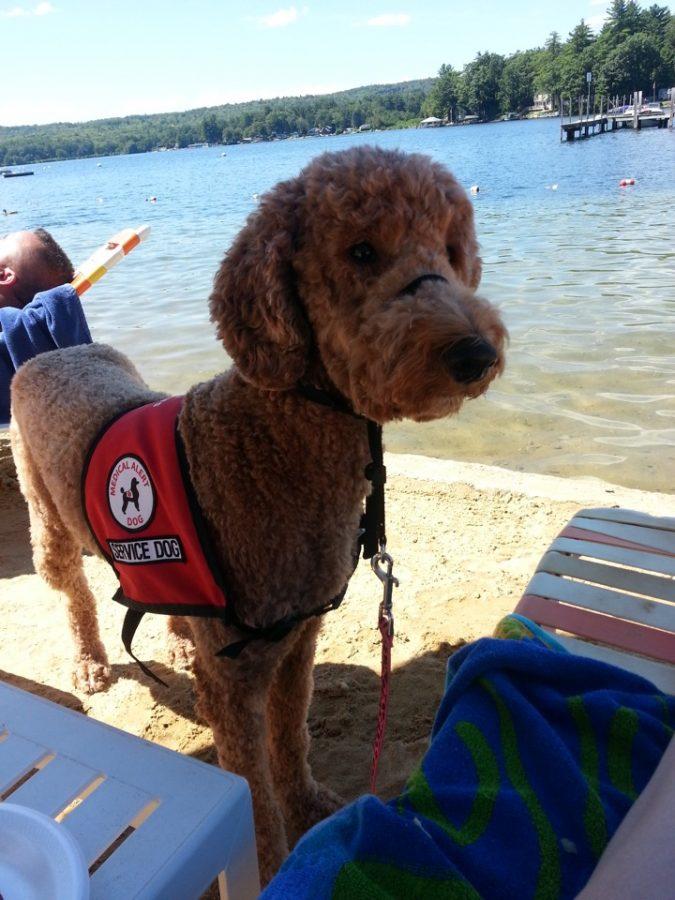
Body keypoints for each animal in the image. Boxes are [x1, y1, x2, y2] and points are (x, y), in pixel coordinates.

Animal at [10, 144, 508, 884]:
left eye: (450, 250)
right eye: (361, 251)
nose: (476, 354)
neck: (272, 437)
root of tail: (54, 350)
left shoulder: (298, 640)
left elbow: (291, 737)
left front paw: (308, 806)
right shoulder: (239, 682)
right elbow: (253, 793)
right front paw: (272, 861)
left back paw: (177, 642)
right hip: (46, 518)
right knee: (73, 594)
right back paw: (91, 664)